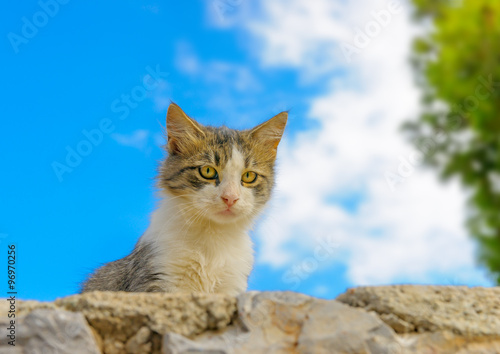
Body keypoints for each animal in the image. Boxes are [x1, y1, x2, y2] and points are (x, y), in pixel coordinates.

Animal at [80, 103, 288, 296]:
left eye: (249, 176)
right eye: (207, 171)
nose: (230, 198)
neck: (213, 238)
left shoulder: (232, 284)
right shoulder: (158, 274)